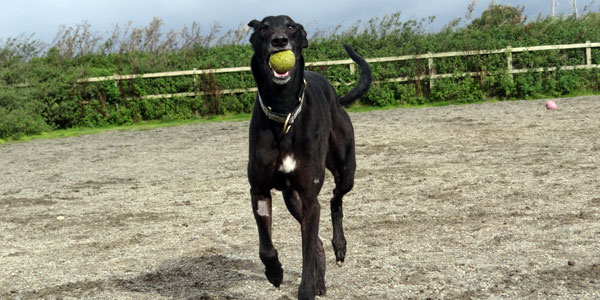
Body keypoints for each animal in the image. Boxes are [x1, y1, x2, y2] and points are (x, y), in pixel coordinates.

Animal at [247, 15, 370, 300]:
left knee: (335, 200)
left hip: (344, 169)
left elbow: (307, 254)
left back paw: (340, 246)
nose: (279, 40)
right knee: (318, 241)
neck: (284, 114)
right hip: (292, 199)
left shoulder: (310, 197)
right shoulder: (259, 190)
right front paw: (274, 272)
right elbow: (266, 246)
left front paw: (306, 289)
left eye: (291, 26)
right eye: (263, 28)